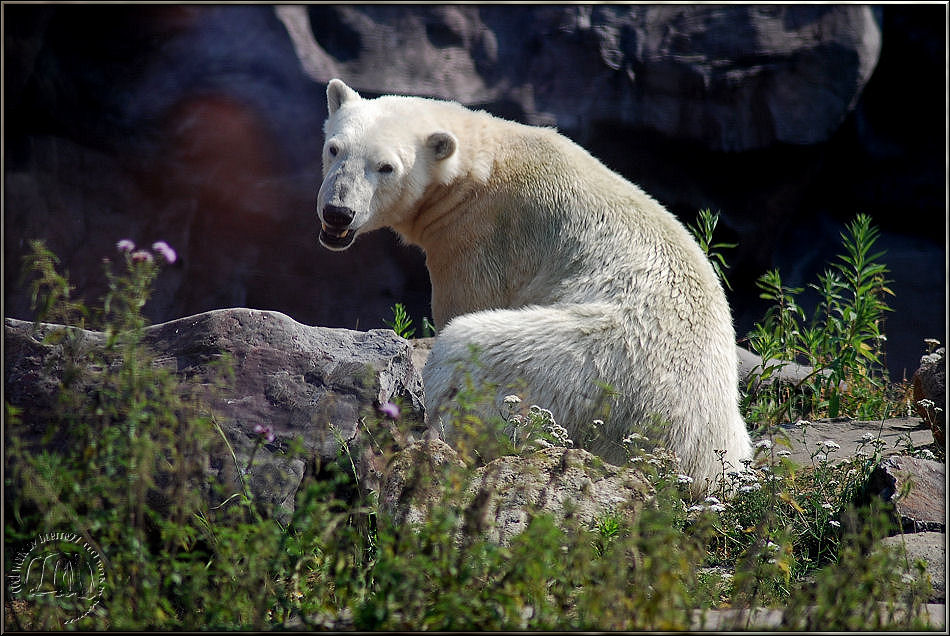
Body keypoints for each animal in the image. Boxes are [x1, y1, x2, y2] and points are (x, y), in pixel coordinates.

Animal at [318, 79, 752, 494]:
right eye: (334, 148)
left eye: (386, 167)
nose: (338, 212)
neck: (482, 164)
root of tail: (698, 462)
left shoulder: (481, 239)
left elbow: (463, 306)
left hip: (583, 368)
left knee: (471, 347)